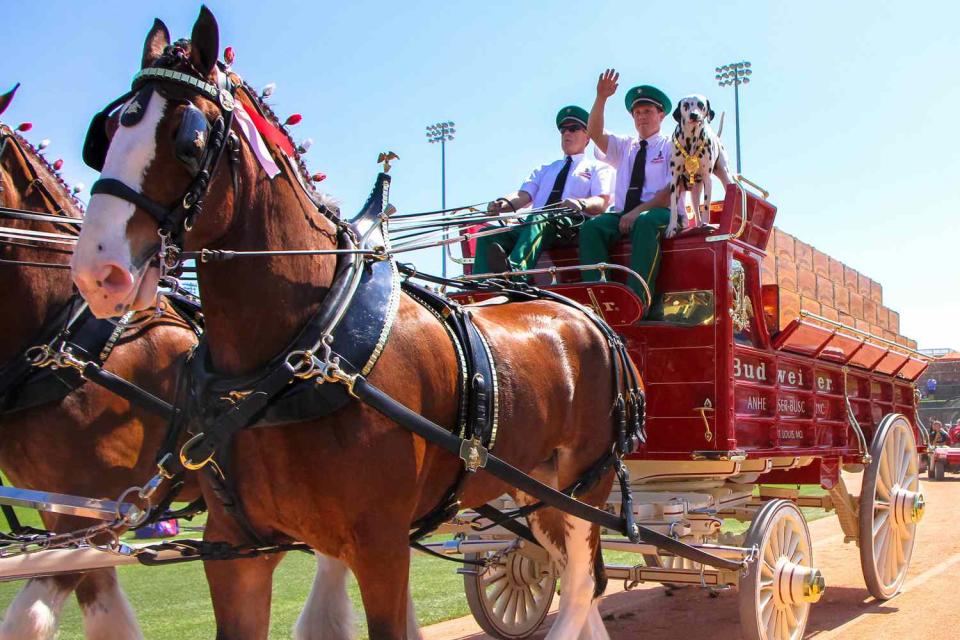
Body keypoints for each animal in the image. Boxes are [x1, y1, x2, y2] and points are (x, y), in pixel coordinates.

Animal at [69, 7, 624, 636]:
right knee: (579, 578)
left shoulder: (380, 545)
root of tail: (586, 312)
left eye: (188, 141)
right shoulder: (234, 549)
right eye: (105, 137)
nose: (98, 270)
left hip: (585, 484)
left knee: (578, 587)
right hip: (535, 488)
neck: (301, 352)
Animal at [668, 94, 736, 236]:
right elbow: (674, 208)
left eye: (700, 104)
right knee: (696, 212)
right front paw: (671, 228)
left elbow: (706, 206)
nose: (694, 115)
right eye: (686, 105)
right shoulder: (674, 180)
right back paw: (698, 225)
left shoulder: (707, 179)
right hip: (694, 194)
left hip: (725, 176)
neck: (691, 141)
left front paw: (706, 225)